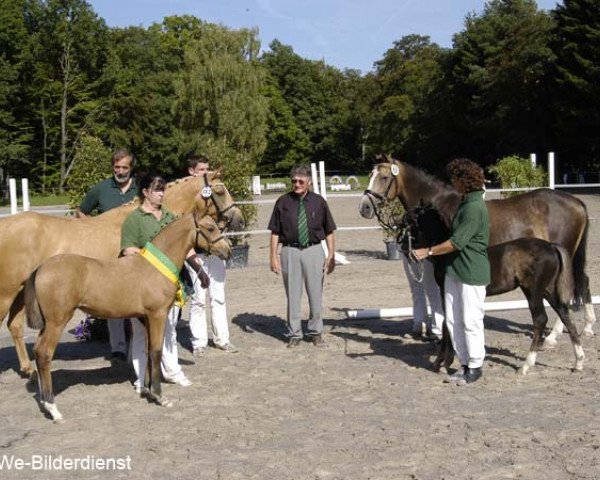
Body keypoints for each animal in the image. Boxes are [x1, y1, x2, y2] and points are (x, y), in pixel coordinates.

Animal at [24, 208, 230, 422]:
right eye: (210, 228)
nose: (227, 251)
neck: (154, 268)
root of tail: (40, 269)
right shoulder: (157, 316)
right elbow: (156, 351)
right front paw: (160, 396)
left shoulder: (145, 318)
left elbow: (147, 351)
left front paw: (147, 390)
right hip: (57, 322)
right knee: (45, 353)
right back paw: (53, 409)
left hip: (47, 324)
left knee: (38, 351)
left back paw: (44, 402)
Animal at [356, 156, 596, 344]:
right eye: (370, 175)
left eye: (384, 177)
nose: (365, 207)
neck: (435, 209)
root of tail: (576, 202)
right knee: (582, 282)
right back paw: (587, 327)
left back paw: (554, 336)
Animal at [398, 202, 584, 376]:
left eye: (409, 220)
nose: (401, 245)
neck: (449, 255)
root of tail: (552, 246)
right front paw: (442, 361)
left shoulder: (446, 292)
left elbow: (446, 324)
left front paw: (442, 363)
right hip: (548, 290)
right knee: (565, 314)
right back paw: (578, 362)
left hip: (533, 291)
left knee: (540, 319)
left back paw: (525, 366)